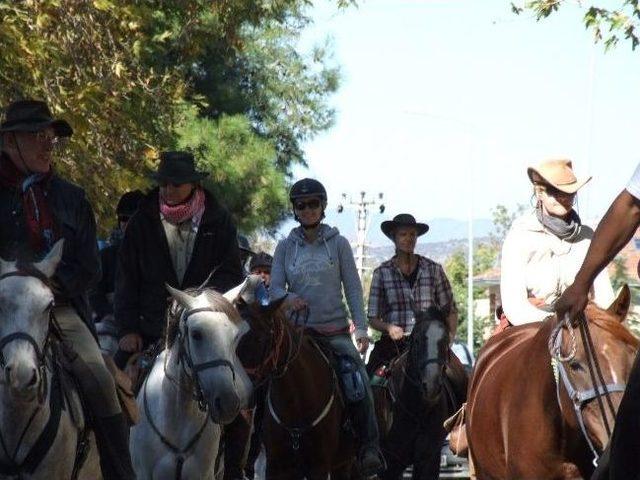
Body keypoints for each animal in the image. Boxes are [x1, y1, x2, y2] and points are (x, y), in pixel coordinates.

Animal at [226, 278, 358, 480]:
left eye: (259, 339)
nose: (234, 389)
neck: (297, 402)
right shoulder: (276, 466)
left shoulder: (319, 467)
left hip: (343, 464)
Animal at [372, 308, 468, 480]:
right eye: (416, 340)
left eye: (445, 341)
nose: (431, 385)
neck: (416, 408)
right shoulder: (390, 461)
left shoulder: (428, 457)